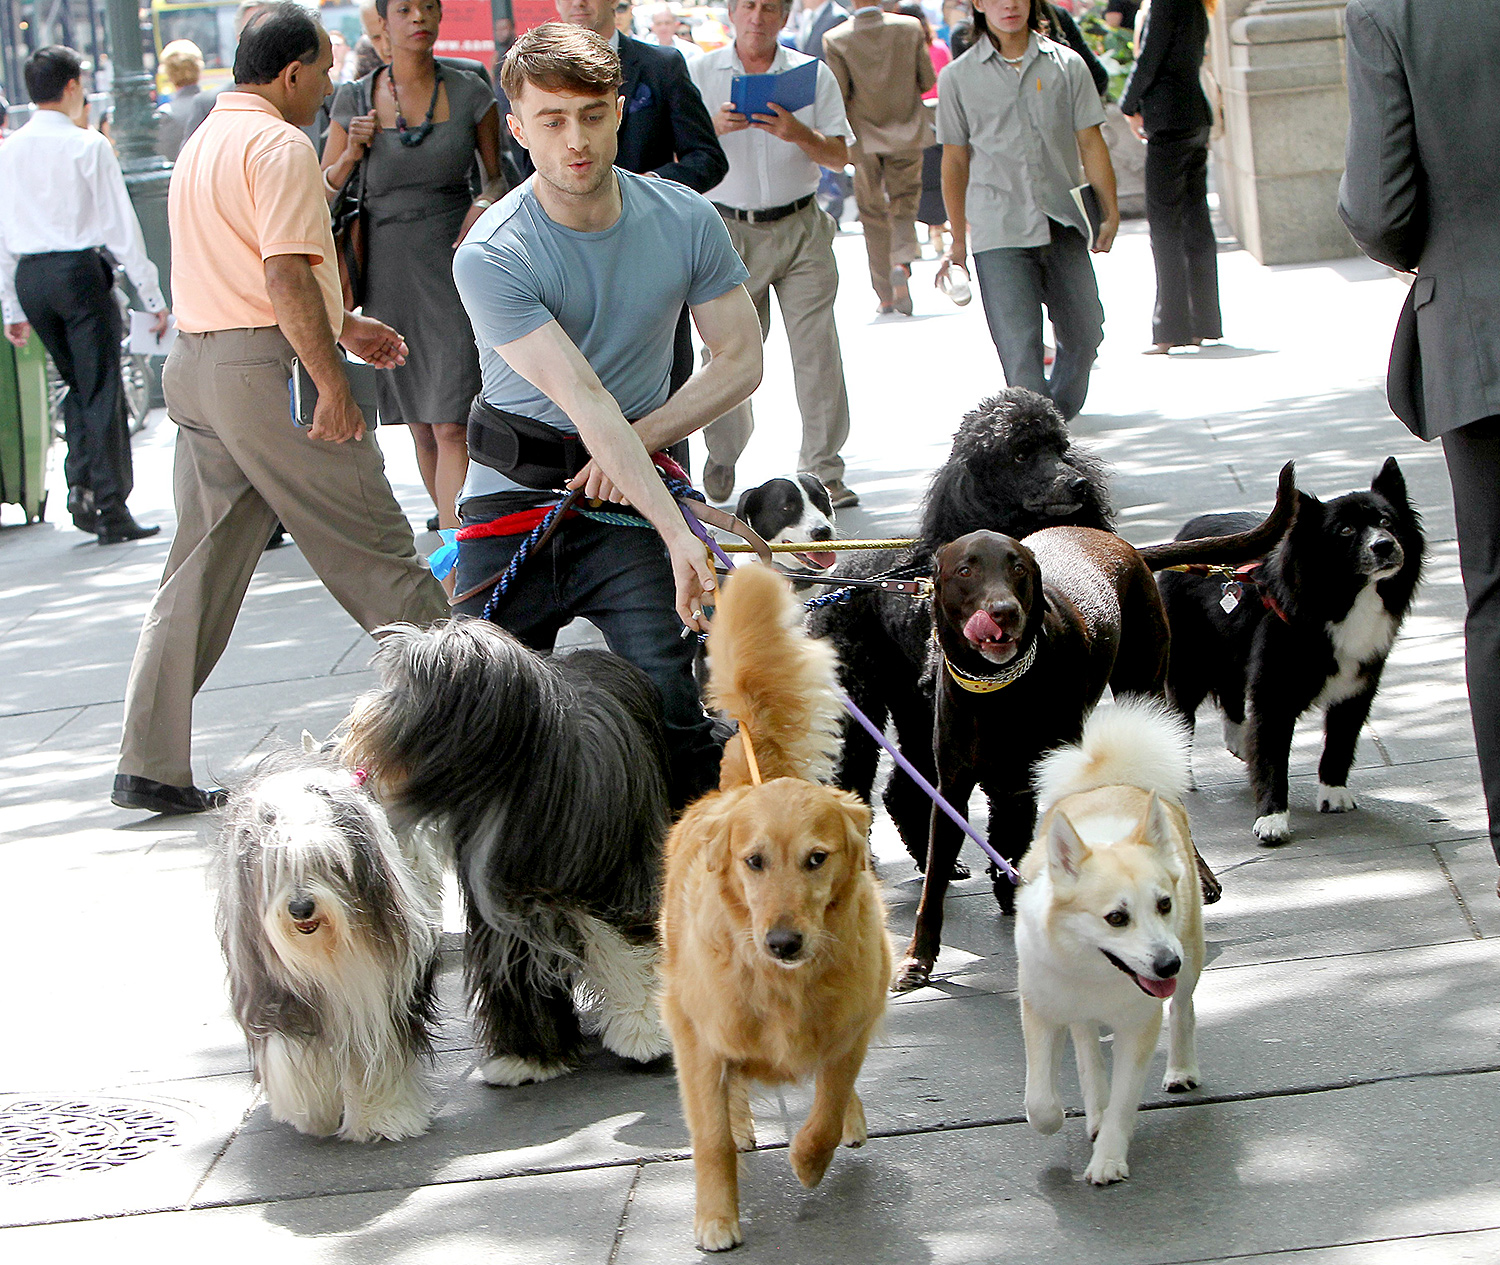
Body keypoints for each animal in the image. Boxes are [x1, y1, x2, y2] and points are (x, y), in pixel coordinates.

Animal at [1008, 702, 1206, 1188]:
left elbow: (1123, 1101)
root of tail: (1111, 779)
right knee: (1086, 1050)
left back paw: (1181, 1069)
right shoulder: (1040, 1010)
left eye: (1164, 904)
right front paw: (1060, 1120)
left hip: (1193, 958)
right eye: (1116, 918)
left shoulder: (1138, 1026)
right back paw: (1093, 1108)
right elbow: (1041, 1101)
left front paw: (1109, 1160)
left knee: (1184, 1011)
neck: (1093, 973)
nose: (1167, 964)